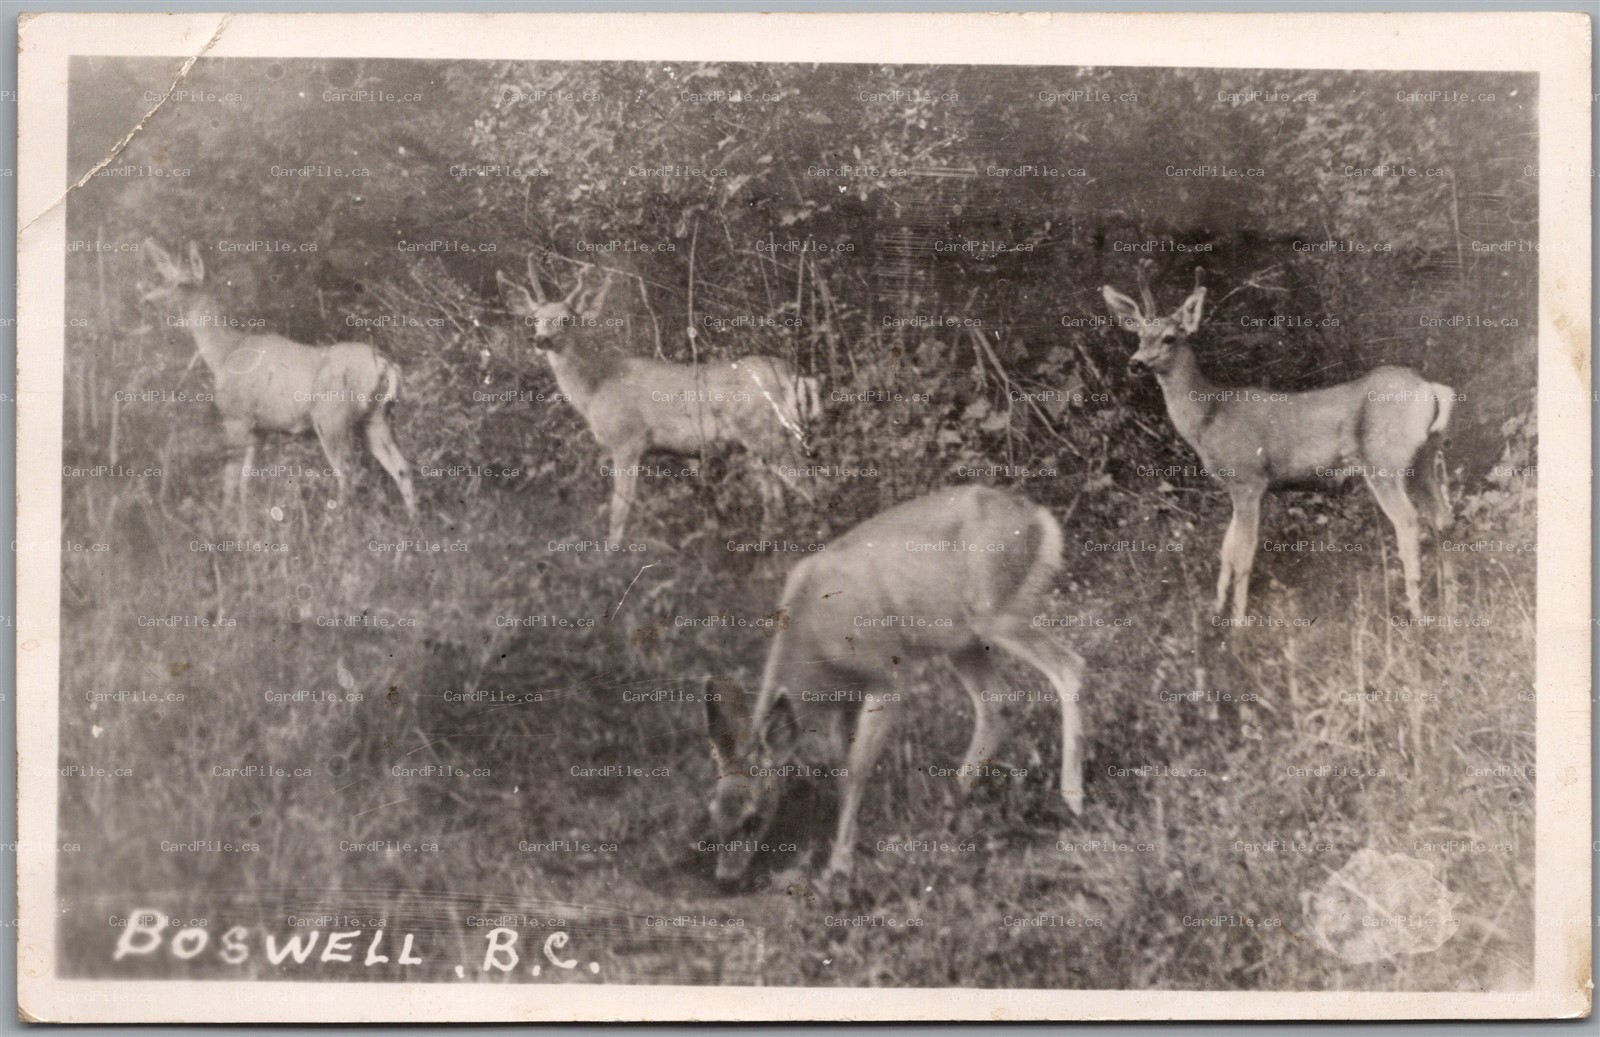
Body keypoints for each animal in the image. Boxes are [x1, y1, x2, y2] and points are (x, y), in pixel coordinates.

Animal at [140, 240, 417, 515]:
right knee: (401, 467)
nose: (147, 300)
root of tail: (384, 364)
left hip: (331, 417)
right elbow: (246, 481)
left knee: (350, 474)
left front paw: (226, 520)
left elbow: (230, 481)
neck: (225, 354)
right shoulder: (258, 429)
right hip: (376, 417)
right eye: (164, 278)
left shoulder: (236, 417)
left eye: (182, 284)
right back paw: (413, 518)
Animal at [496, 257, 820, 544]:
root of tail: (796, 376)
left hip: (770, 433)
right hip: (758, 444)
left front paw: (611, 558)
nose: (541, 340)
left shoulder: (626, 440)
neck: (595, 388)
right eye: (534, 319)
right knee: (776, 502)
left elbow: (619, 510)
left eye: (566, 319)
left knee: (813, 486)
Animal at [702, 485, 1086, 888]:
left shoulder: (886, 676)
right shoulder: (846, 699)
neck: (814, 640)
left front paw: (839, 865)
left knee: (1068, 666)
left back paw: (1072, 798)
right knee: (997, 702)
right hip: (961, 641)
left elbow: (857, 769)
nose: (726, 878)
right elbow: (842, 769)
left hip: (997, 612)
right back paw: (949, 808)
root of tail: (1038, 516)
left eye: (754, 817)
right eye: (713, 811)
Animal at [1103, 260, 1453, 623]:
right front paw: (1216, 611)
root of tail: (1430, 389)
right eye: (1139, 335)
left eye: (1169, 337)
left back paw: (1415, 613)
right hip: (1422, 461)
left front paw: (1238, 624)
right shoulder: (1236, 486)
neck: (1208, 416)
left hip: (1384, 461)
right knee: (1443, 518)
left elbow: (1242, 553)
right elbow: (1226, 550)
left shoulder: (1249, 478)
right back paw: (1450, 604)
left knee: (1410, 521)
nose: (1135, 363)